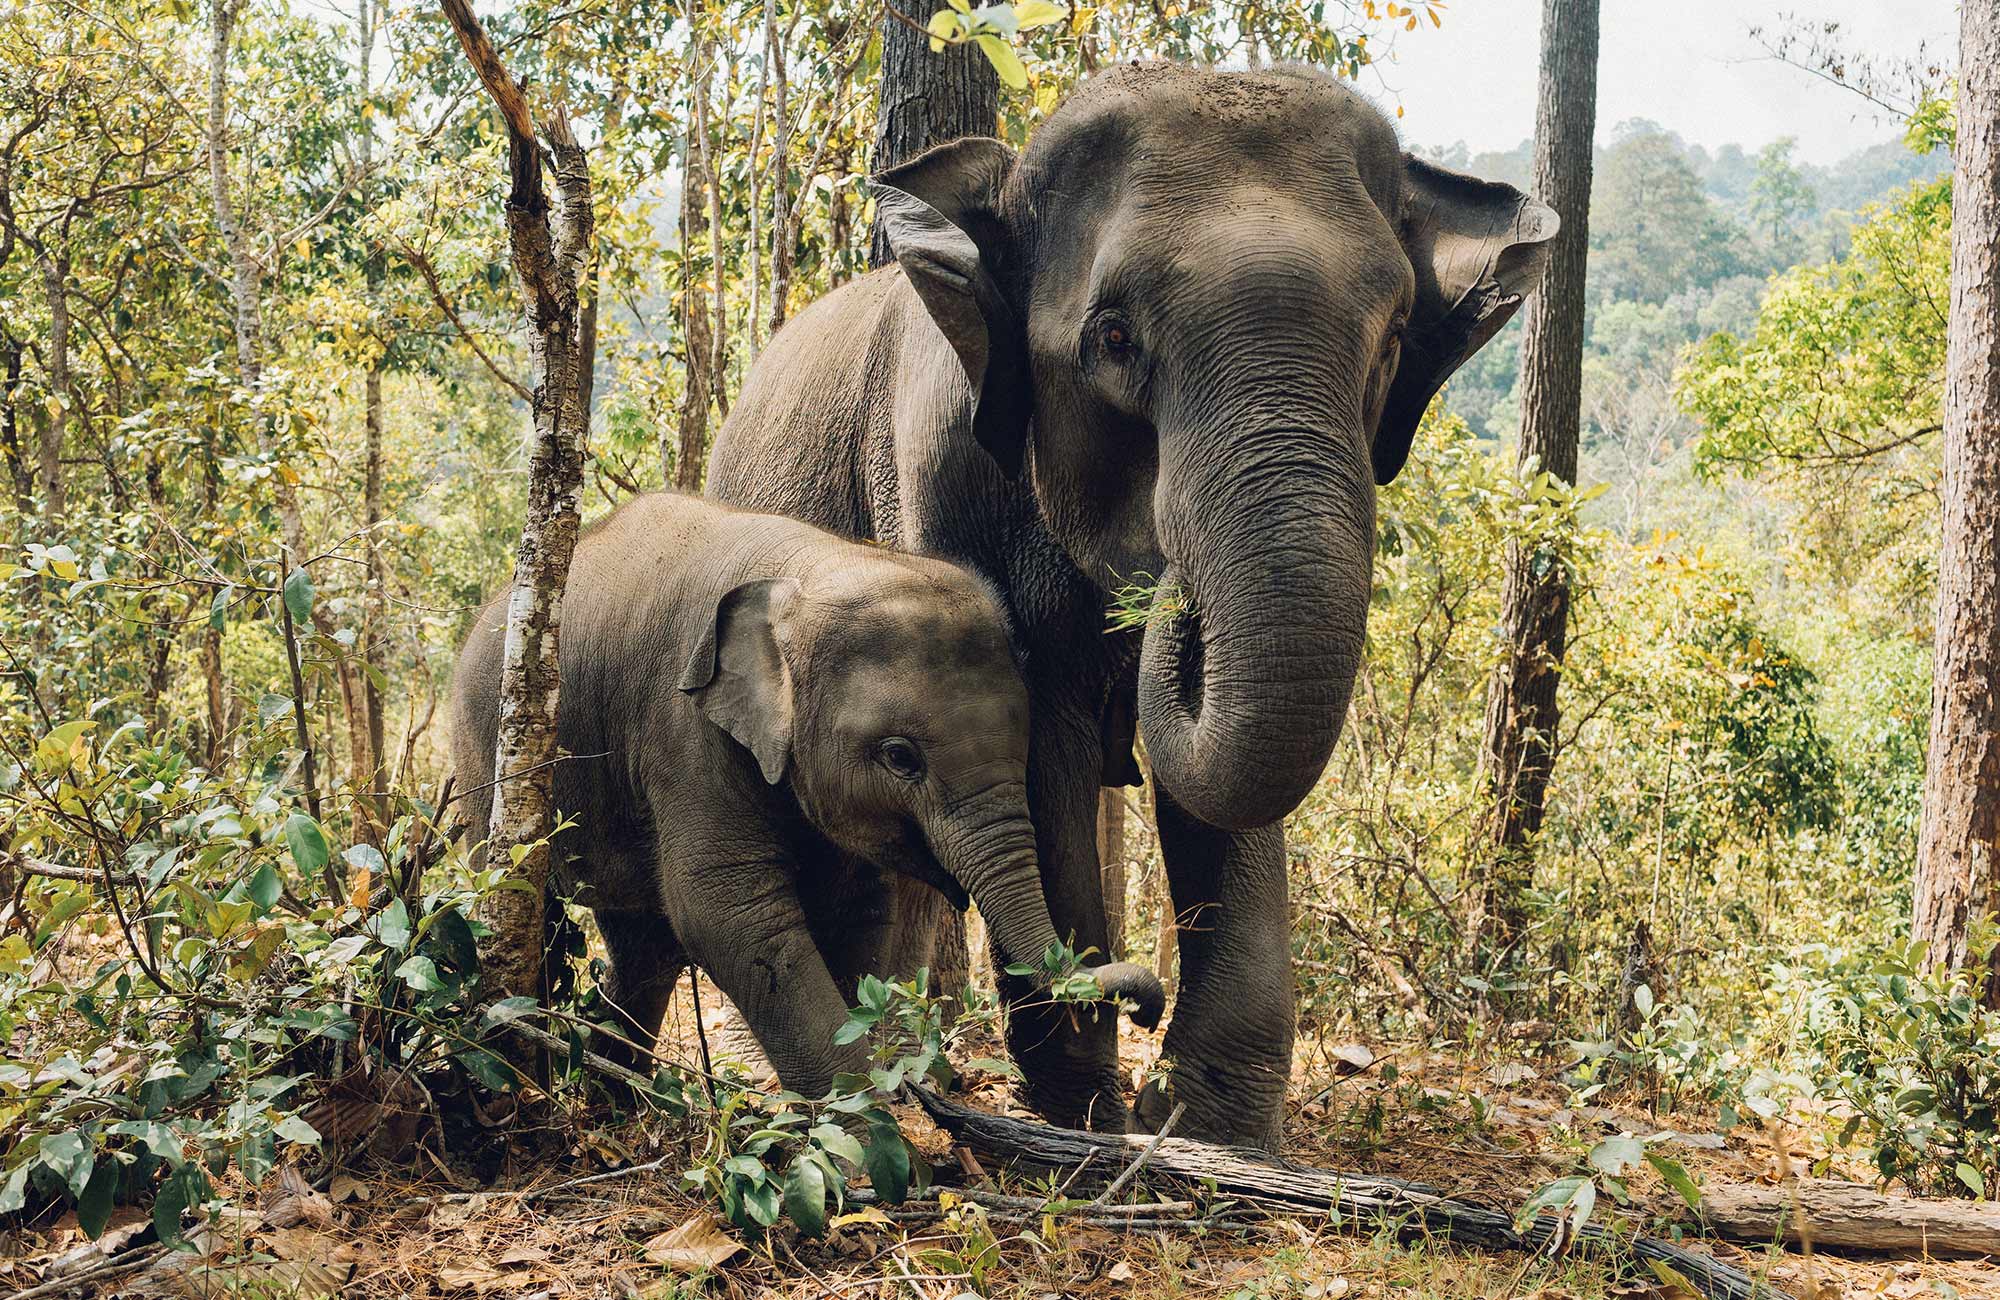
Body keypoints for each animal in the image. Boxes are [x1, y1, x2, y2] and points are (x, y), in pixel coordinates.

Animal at [450, 492, 1168, 1096]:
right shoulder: (685, 729)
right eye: (901, 758)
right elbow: (727, 910)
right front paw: (869, 1146)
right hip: (486, 758)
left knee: (644, 946)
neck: (809, 568)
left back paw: (616, 1100)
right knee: (528, 905)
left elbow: (856, 910)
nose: (1146, 1008)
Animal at [708, 60, 1560, 1144]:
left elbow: (1223, 779)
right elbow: (1039, 744)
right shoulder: (938, 479)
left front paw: (1208, 1128)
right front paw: (1089, 1114)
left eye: (1392, 342)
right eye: (1113, 339)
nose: (1167, 591)